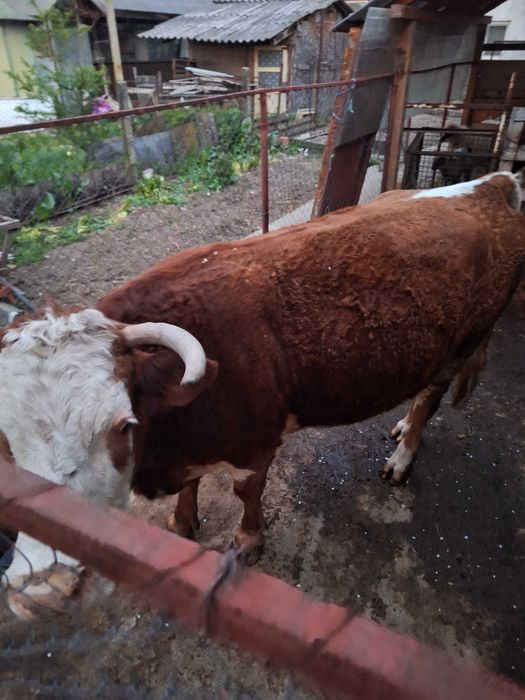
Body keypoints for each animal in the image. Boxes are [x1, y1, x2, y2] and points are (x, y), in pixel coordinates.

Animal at [1, 171, 523, 618]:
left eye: (123, 425)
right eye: (7, 441)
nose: (45, 590)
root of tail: (491, 185)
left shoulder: (256, 443)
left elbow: (245, 492)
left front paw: (249, 541)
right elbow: (191, 489)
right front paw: (181, 522)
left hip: (463, 344)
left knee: (429, 400)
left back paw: (402, 456)